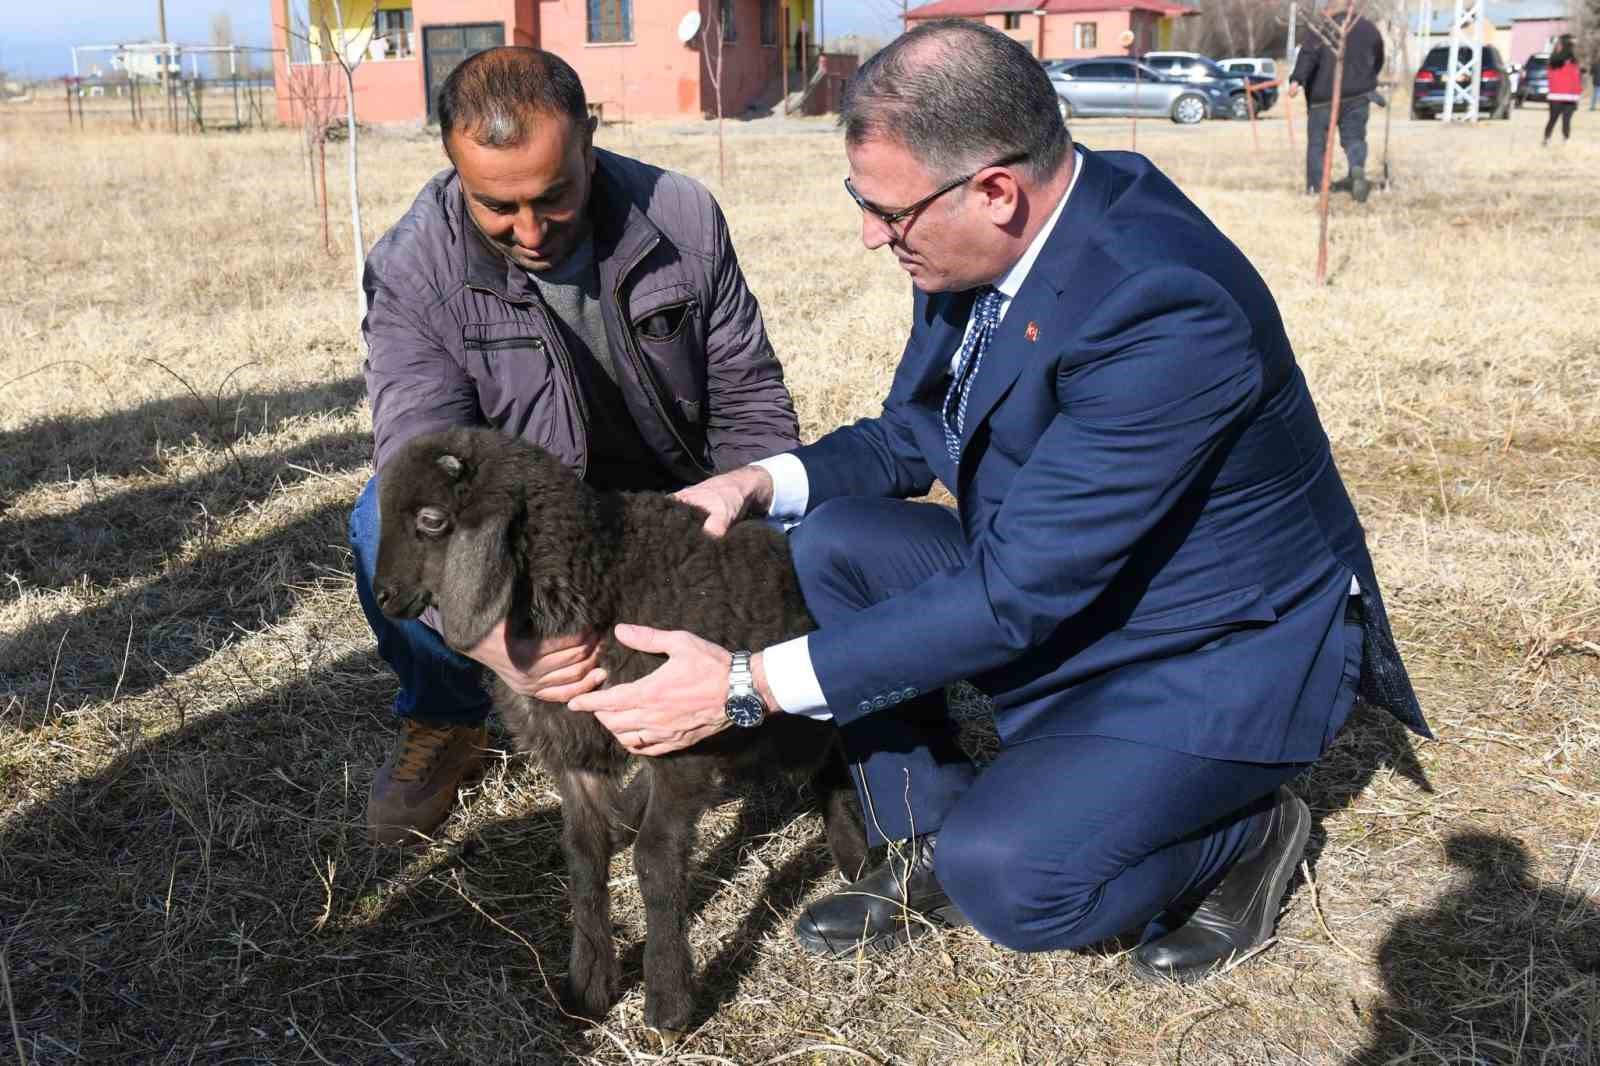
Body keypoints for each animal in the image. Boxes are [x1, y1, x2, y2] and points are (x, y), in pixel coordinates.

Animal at [369, 425, 870, 1037]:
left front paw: (667, 998)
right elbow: (584, 858)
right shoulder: (575, 758)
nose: (384, 596)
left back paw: (853, 852)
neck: (599, 578)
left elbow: (656, 860)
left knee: (831, 746)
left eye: (432, 520)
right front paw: (589, 982)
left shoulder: (682, 741)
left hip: (783, 722)